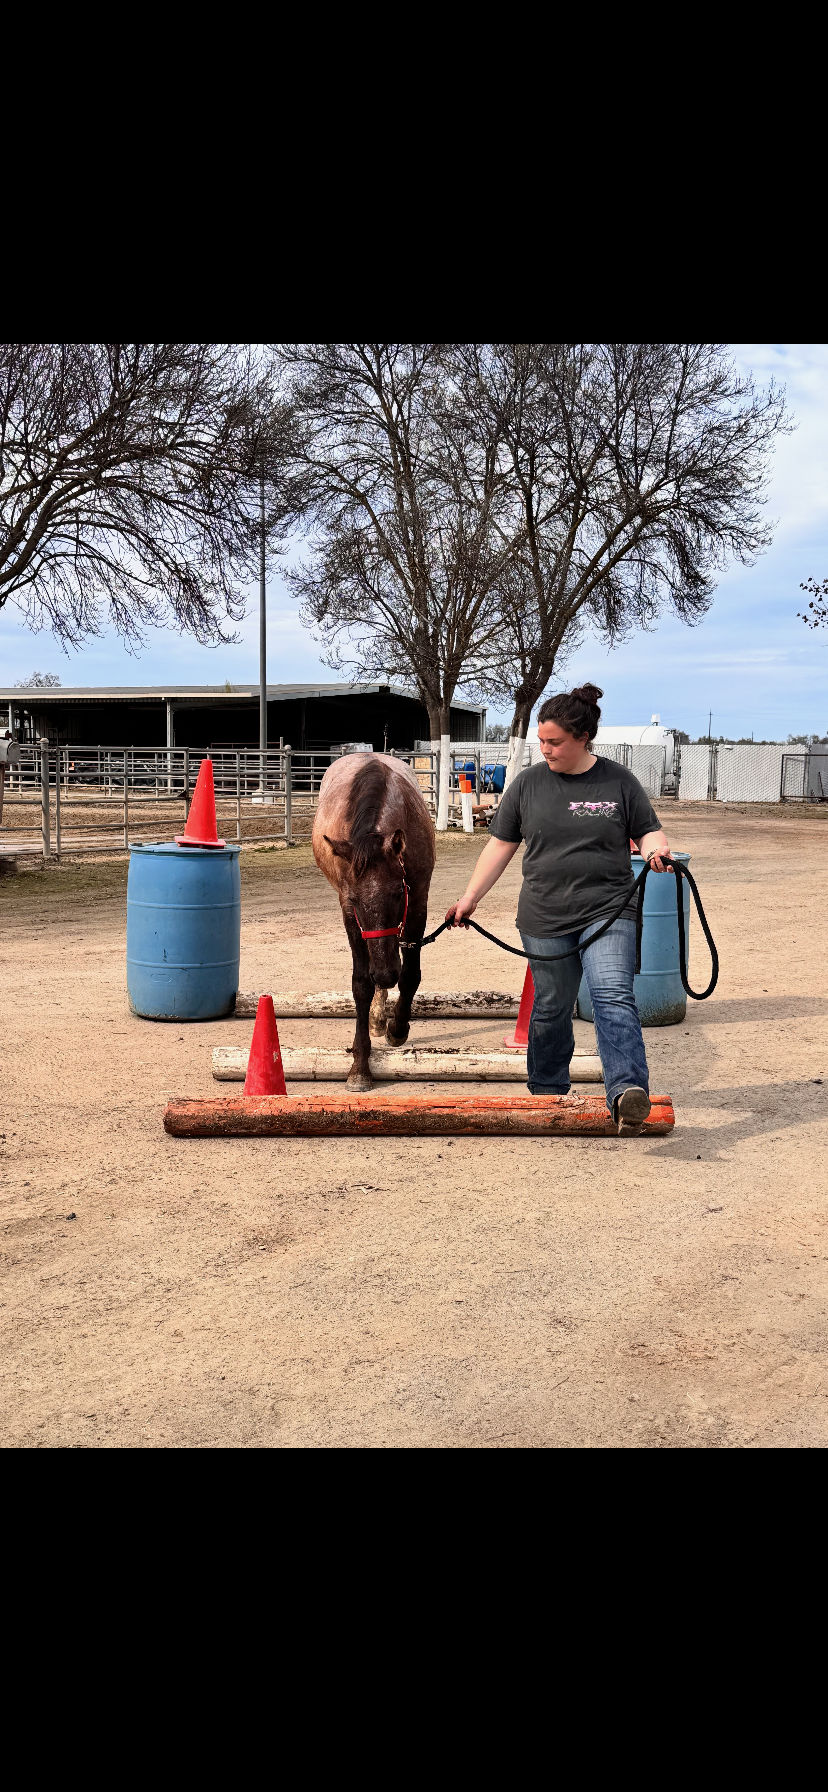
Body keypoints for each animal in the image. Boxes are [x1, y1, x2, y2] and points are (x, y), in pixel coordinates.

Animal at [312, 753, 436, 1090]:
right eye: (356, 900)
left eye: (397, 893)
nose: (385, 973)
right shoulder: (349, 912)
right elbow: (361, 983)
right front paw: (359, 1066)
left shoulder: (417, 901)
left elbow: (410, 975)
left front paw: (398, 1028)